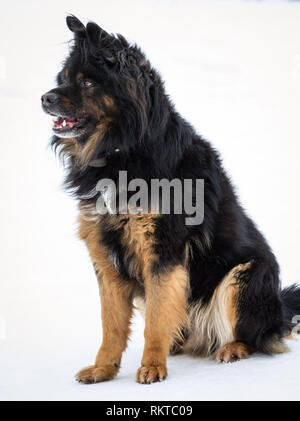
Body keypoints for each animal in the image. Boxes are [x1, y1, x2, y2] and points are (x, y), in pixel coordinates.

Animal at [41, 15, 300, 384]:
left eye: (88, 82)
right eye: (63, 79)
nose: (44, 98)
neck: (123, 152)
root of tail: (280, 308)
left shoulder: (163, 251)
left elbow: (155, 318)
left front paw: (152, 365)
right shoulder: (106, 257)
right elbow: (111, 324)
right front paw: (104, 368)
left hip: (247, 275)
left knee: (257, 336)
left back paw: (232, 348)